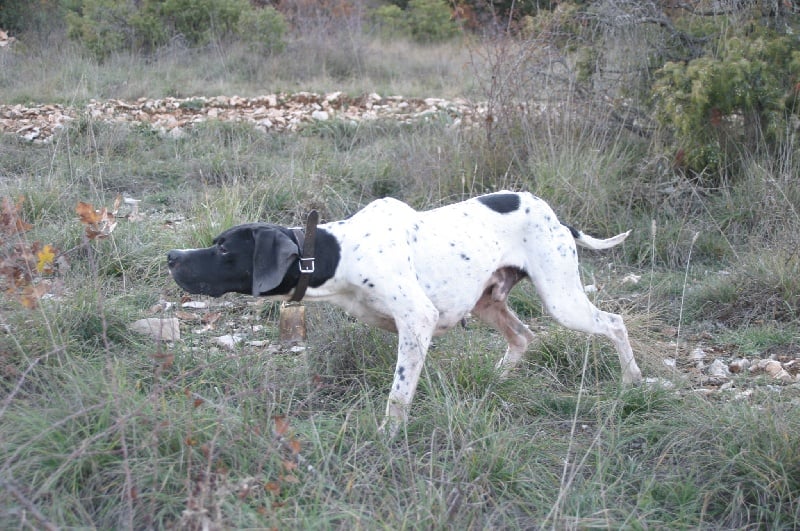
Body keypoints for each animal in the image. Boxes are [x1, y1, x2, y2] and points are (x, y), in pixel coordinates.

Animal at [167, 191, 644, 436]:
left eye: (224, 249)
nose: (172, 256)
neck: (338, 253)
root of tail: (556, 217)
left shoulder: (417, 321)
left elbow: (398, 395)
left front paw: (388, 436)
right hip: (488, 302)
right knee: (523, 337)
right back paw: (494, 381)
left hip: (563, 301)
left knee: (615, 323)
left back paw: (632, 381)